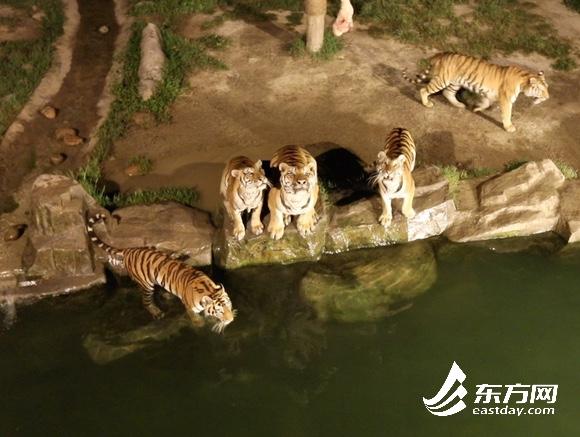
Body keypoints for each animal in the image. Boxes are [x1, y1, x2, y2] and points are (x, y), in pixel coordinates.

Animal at [85, 213, 234, 332]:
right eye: (220, 311)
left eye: (229, 305)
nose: (231, 320)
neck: (209, 290)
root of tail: (129, 250)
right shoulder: (190, 308)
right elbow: (195, 317)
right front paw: (200, 324)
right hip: (146, 285)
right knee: (146, 302)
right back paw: (157, 313)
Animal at [406, 52, 552, 132]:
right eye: (541, 89)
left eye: (547, 87)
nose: (548, 97)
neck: (523, 80)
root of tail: (443, 54)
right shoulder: (506, 100)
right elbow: (507, 114)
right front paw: (509, 127)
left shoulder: (488, 94)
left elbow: (486, 103)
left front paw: (477, 109)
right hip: (442, 80)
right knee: (424, 89)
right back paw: (427, 104)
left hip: (455, 83)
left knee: (447, 93)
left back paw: (460, 105)